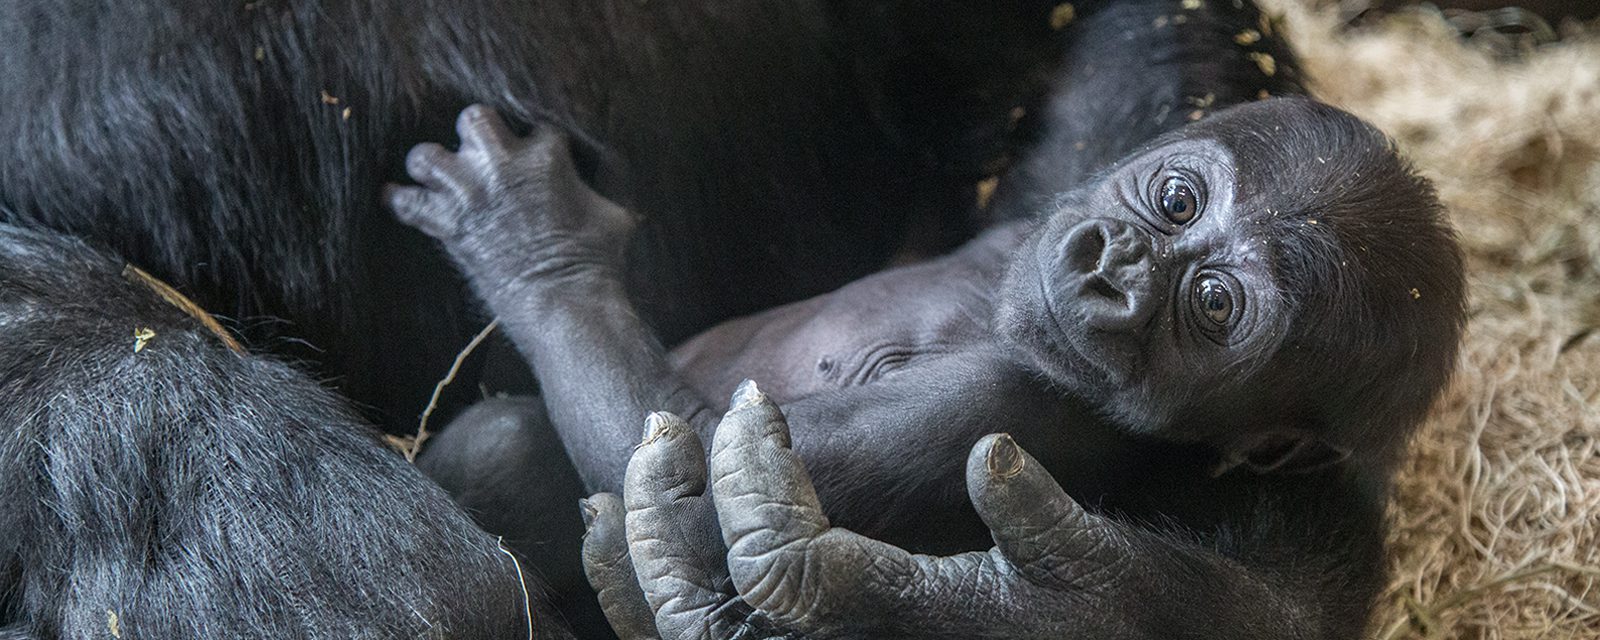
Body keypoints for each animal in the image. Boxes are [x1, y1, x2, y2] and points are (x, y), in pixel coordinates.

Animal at [384, 100, 1465, 633]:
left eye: (1210, 305)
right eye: (1175, 199)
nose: (1113, 270)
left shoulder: (1007, 407)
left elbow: (683, 457)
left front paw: (535, 241)